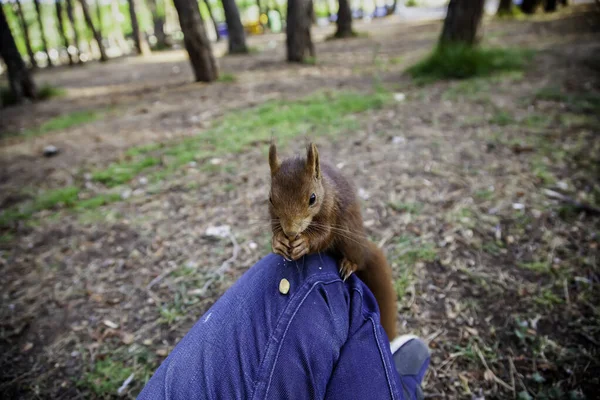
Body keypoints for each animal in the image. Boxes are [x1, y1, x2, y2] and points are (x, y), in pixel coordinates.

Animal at [268, 142, 398, 340]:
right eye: (270, 199)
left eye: (312, 198)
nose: (291, 232)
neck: (324, 189)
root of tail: (364, 246)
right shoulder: (273, 215)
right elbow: (275, 228)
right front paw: (278, 242)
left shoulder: (331, 209)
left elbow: (325, 235)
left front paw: (304, 244)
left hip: (350, 237)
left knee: (358, 259)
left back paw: (349, 264)